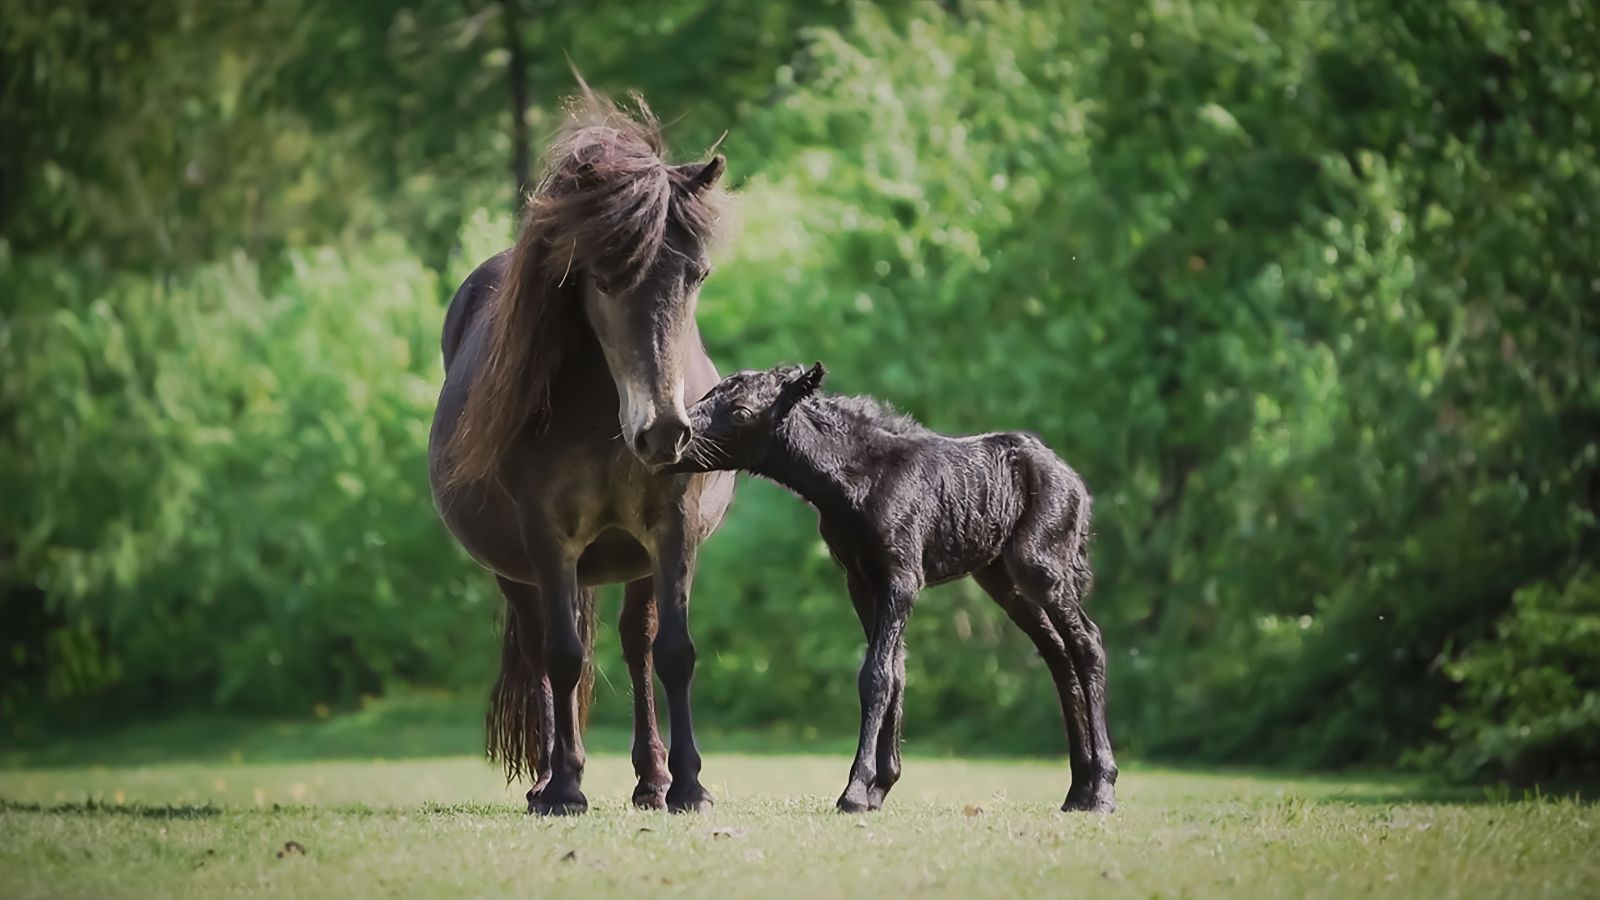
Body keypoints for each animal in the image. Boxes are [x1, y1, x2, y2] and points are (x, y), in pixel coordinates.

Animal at [428, 89, 736, 815]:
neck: (606, 417)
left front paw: (689, 784)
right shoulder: (547, 537)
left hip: (638, 561)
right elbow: (563, 656)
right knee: (541, 646)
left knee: (637, 643)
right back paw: (547, 777)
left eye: (698, 274)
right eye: (603, 276)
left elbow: (674, 652)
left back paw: (652, 780)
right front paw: (566, 785)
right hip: (513, 570)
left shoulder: (673, 529)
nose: (664, 433)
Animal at [669, 364, 1118, 813]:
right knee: (1058, 655)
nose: (674, 442)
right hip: (1002, 580)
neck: (855, 482)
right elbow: (896, 671)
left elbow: (877, 674)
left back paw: (1102, 790)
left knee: (1087, 643)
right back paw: (1077, 791)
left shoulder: (902, 577)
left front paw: (855, 790)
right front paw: (880, 786)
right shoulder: (860, 579)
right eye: (709, 392)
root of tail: (1077, 483)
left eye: (741, 411)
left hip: (1040, 565)